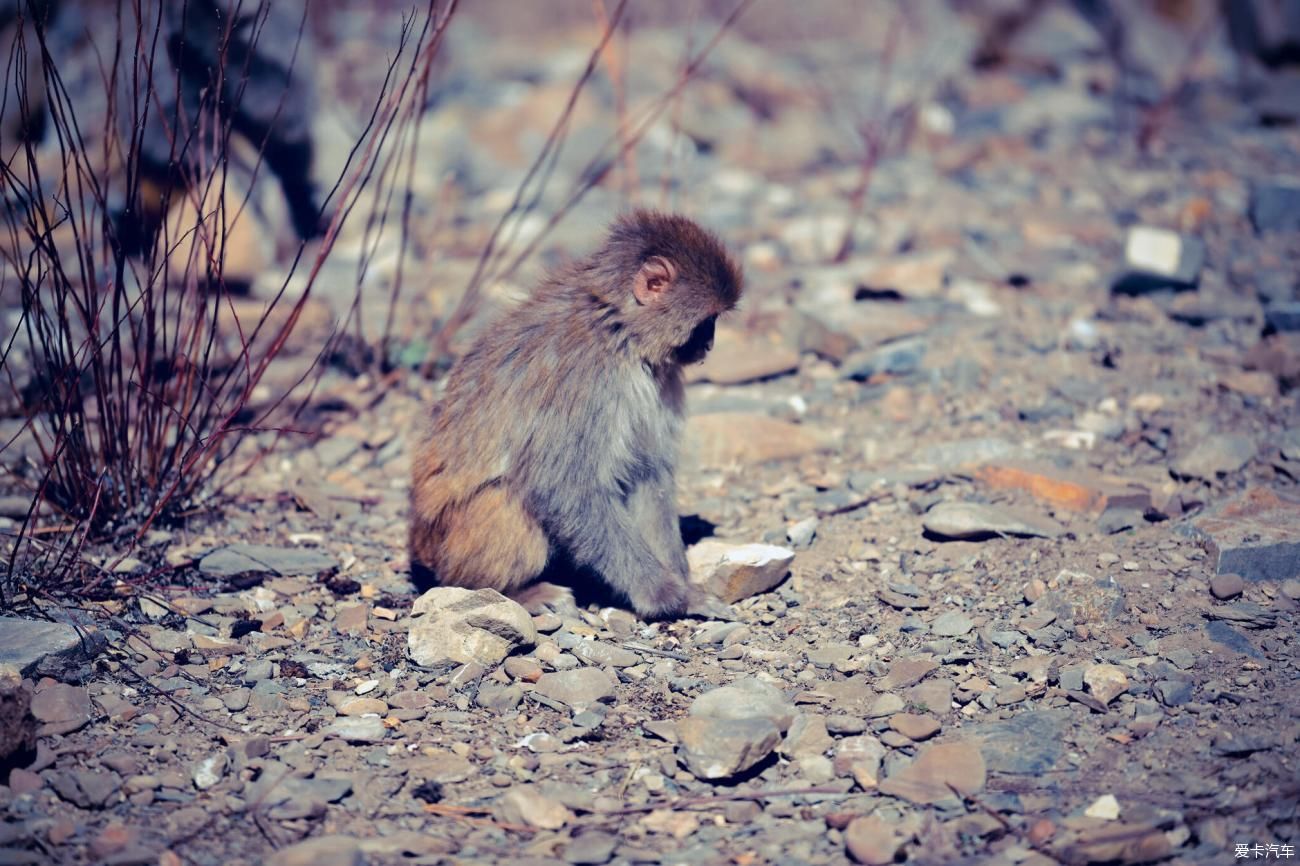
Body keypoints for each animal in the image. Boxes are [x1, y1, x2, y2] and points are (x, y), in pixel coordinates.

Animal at [410, 209, 748, 616]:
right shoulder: (585, 381)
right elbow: (566, 488)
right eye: (706, 322)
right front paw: (664, 595)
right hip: (453, 547)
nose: (709, 344)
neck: (617, 330)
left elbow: (648, 474)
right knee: (507, 496)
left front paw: (685, 588)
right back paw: (513, 592)